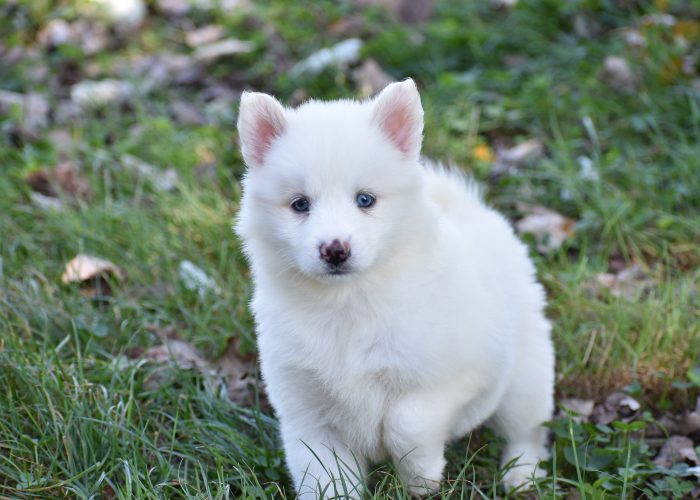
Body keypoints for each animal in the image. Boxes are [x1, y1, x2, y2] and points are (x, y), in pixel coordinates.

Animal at [238, 80, 556, 498]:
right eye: (300, 205)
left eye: (365, 200)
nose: (334, 249)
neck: (347, 303)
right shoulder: (308, 413)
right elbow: (325, 477)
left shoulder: (460, 376)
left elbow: (407, 423)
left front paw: (421, 477)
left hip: (524, 378)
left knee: (527, 429)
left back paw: (521, 474)